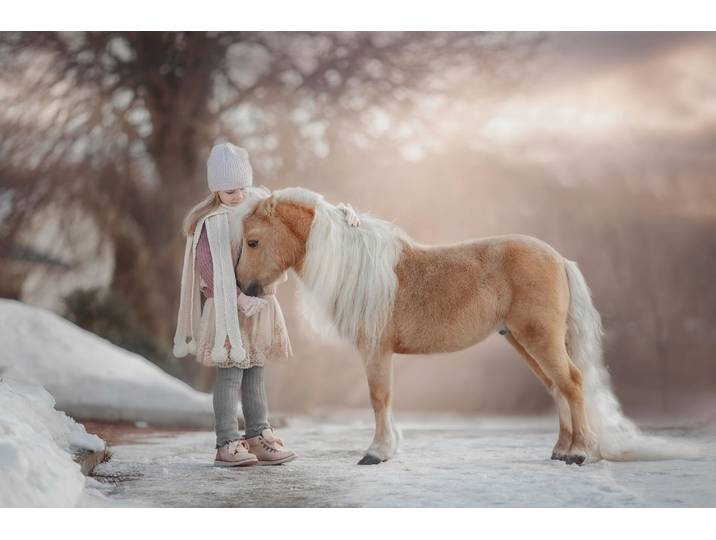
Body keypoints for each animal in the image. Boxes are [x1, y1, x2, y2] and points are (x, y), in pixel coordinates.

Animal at [236, 187, 698, 466]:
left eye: (254, 240)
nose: (244, 287)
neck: (360, 267)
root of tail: (558, 257)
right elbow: (384, 399)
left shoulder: (375, 350)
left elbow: (379, 398)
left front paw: (377, 452)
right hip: (524, 342)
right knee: (558, 387)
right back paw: (561, 450)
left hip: (539, 338)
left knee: (571, 382)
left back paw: (580, 453)